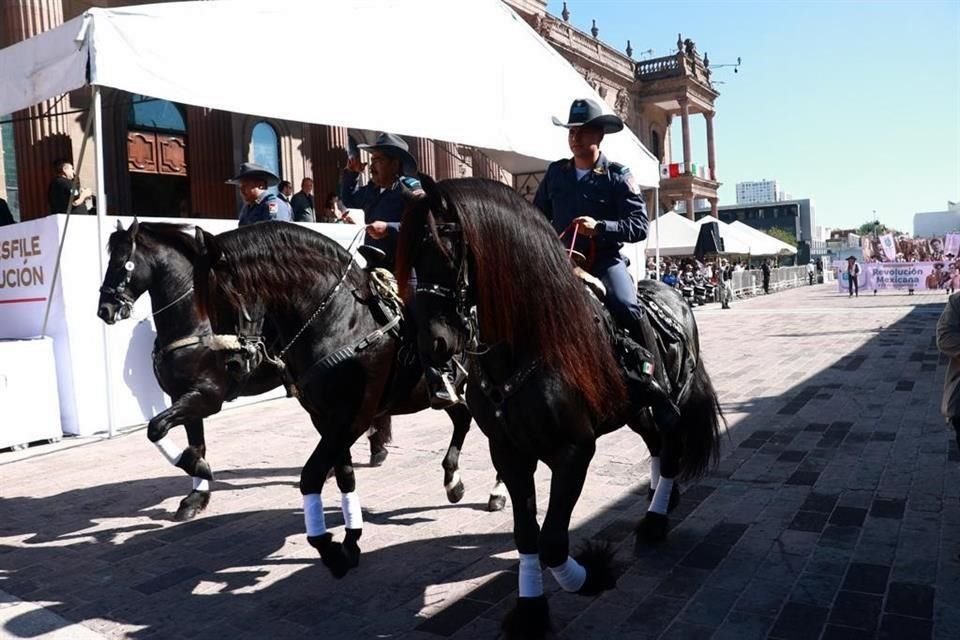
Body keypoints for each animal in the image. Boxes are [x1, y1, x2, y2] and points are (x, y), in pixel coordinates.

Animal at [96, 220, 502, 524]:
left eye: (122, 262)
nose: (106, 308)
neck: (343, 320)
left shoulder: (208, 395)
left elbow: (158, 428)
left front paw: (199, 473)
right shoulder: (189, 395)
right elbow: (186, 437)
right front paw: (196, 489)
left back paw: (495, 491)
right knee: (462, 418)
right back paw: (451, 480)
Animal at [392, 178, 720, 636]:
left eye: (445, 246)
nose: (430, 344)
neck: (528, 343)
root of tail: (674, 295)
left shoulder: (574, 452)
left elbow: (551, 541)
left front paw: (593, 573)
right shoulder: (509, 453)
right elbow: (527, 535)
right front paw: (531, 609)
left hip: (668, 401)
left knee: (670, 448)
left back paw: (655, 521)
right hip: (636, 412)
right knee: (656, 445)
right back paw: (662, 499)